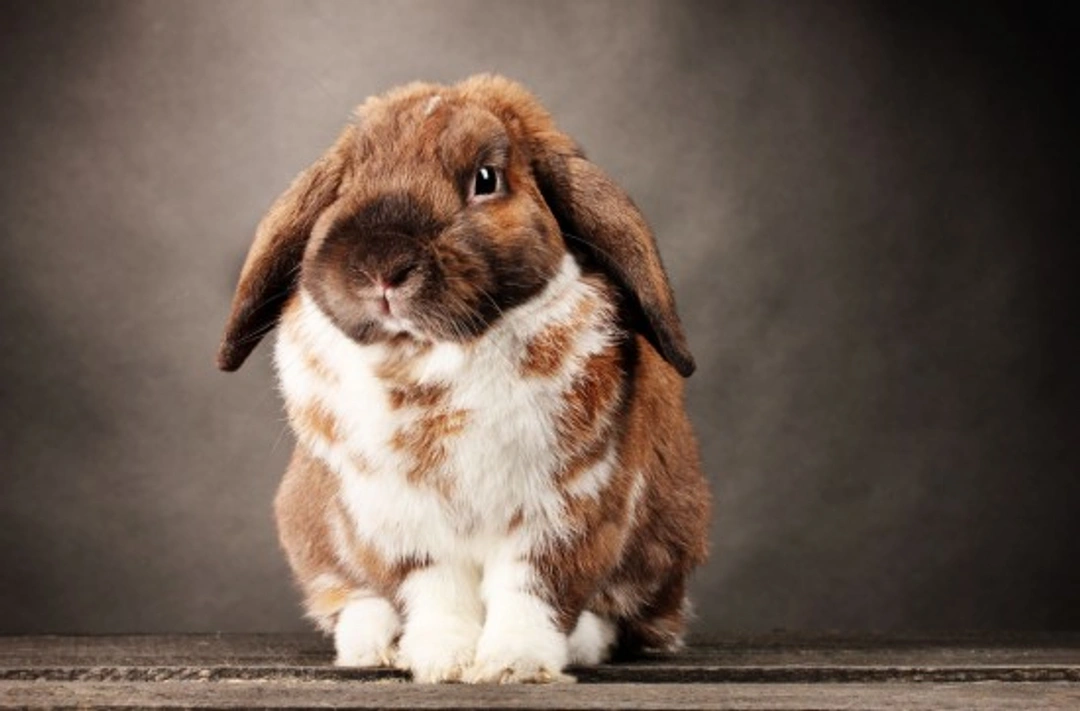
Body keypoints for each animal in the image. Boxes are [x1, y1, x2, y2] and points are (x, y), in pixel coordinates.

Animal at [217, 75, 710, 684]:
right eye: (347, 183)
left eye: (486, 179)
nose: (382, 266)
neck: (433, 361)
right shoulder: (401, 524)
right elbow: (436, 594)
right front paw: (441, 660)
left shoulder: (567, 512)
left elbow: (533, 592)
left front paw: (513, 665)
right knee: (349, 598)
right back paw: (374, 644)